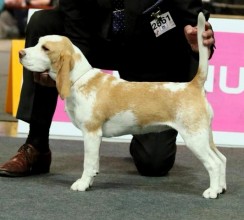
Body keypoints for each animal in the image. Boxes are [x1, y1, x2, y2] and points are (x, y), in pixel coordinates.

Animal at [19, 12, 227, 199]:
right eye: (38, 43)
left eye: (45, 48)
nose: (21, 53)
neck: (80, 79)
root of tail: (192, 85)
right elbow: (94, 165)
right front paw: (90, 181)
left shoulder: (91, 133)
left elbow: (88, 163)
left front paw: (82, 184)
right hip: (205, 135)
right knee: (222, 158)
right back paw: (221, 188)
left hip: (195, 138)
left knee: (213, 163)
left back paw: (212, 192)